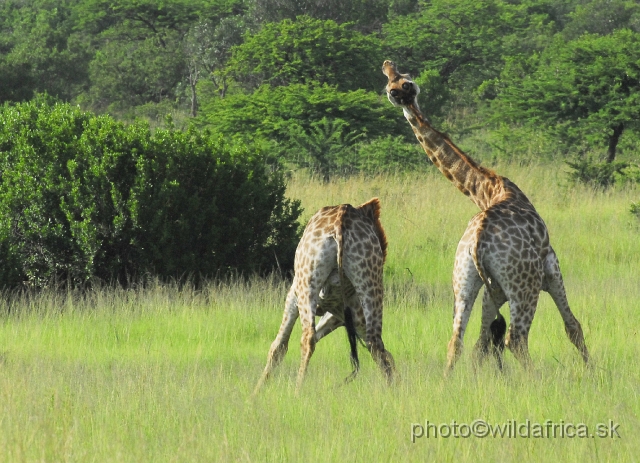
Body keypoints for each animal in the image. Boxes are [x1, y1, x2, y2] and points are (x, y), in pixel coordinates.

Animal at [251, 198, 392, 394]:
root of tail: (342, 222)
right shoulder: (342, 313)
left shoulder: (294, 293)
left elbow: (278, 346)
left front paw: (254, 395)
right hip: (369, 282)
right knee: (375, 342)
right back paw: (392, 391)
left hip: (307, 283)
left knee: (307, 338)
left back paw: (297, 391)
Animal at [380, 61, 592, 374]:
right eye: (390, 87)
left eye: (404, 81)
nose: (399, 93)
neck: (488, 190)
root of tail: (478, 242)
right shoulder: (551, 264)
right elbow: (573, 326)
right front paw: (593, 370)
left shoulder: (492, 288)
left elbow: (480, 344)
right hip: (524, 283)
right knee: (516, 339)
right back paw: (535, 380)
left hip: (464, 281)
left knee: (457, 341)